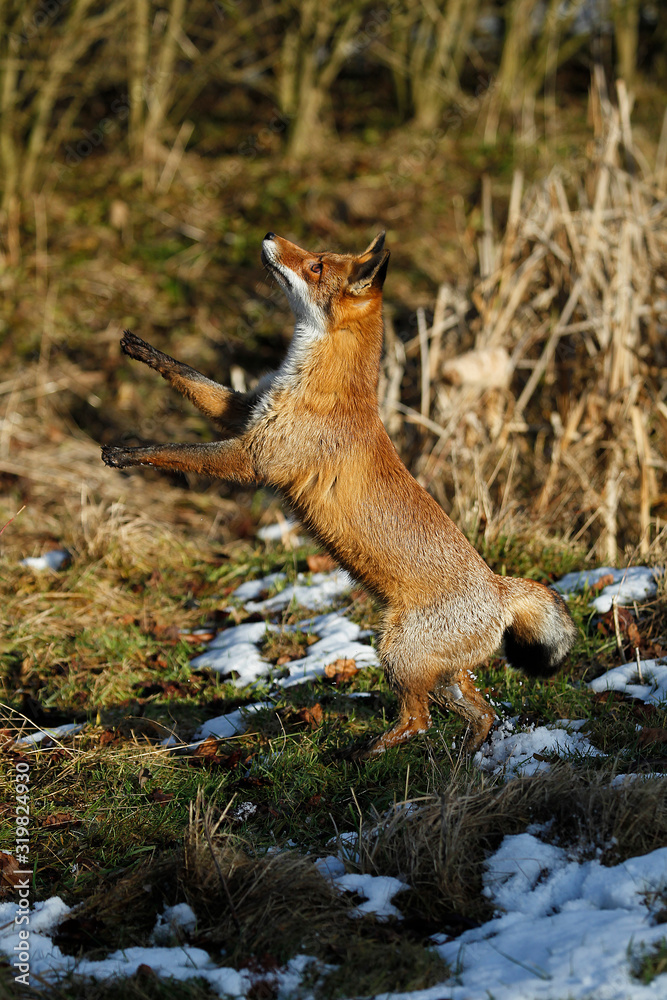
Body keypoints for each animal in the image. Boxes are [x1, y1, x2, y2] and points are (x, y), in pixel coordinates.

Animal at [102, 231, 577, 755]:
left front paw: (126, 453)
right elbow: (190, 378)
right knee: (481, 712)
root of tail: (498, 588)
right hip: (439, 672)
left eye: (315, 266)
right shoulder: (245, 412)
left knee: (419, 720)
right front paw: (142, 349)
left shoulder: (252, 457)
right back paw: (463, 760)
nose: (270, 235)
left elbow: (176, 453)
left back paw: (365, 755)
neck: (318, 385)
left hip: (396, 652)